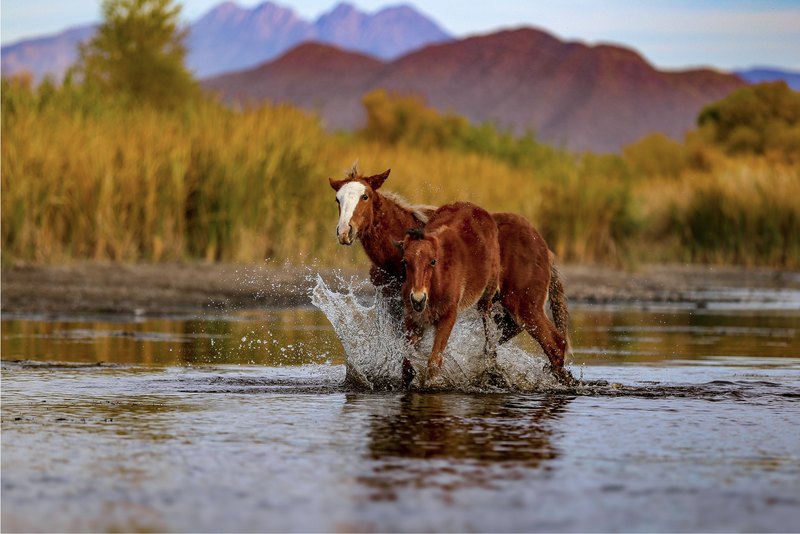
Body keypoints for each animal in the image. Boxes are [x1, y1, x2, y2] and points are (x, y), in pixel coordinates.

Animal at [399, 202, 501, 385]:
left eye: (433, 261)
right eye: (405, 261)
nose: (418, 299)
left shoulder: (448, 317)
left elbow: (434, 361)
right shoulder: (412, 319)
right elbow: (407, 363)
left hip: (486, 296)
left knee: (487, 323)